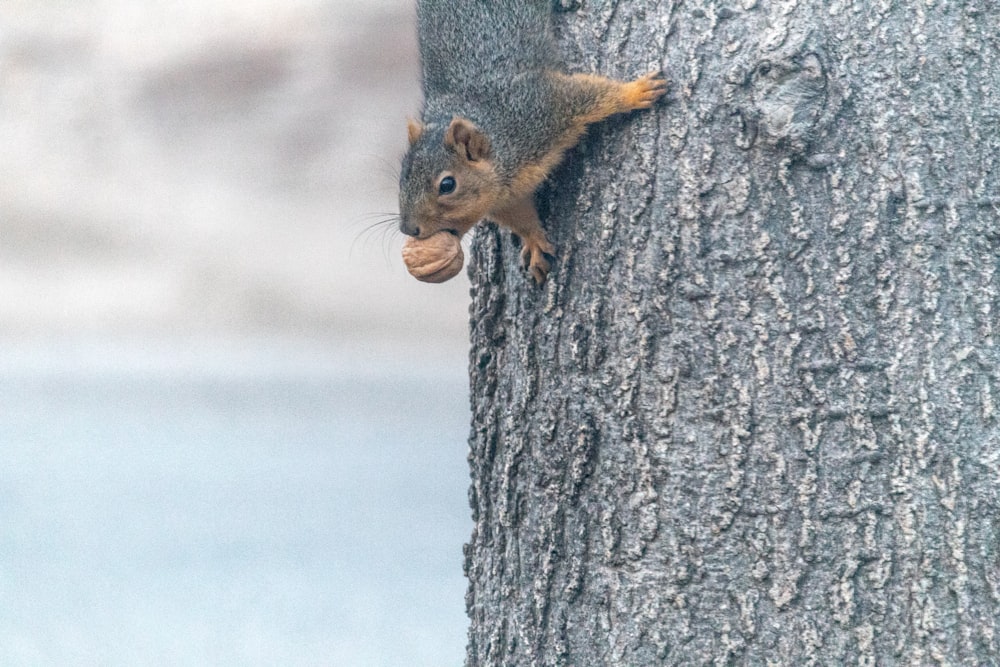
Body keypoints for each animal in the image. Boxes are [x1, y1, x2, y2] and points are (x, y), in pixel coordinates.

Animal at [396, 0, 664, 284]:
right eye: (402, 177)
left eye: (447, 185)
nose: (409, 228)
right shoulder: (507, 199)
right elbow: (521, 218)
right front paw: (534, 242)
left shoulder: (540, 104)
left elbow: (587, 92)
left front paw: (634, 92)